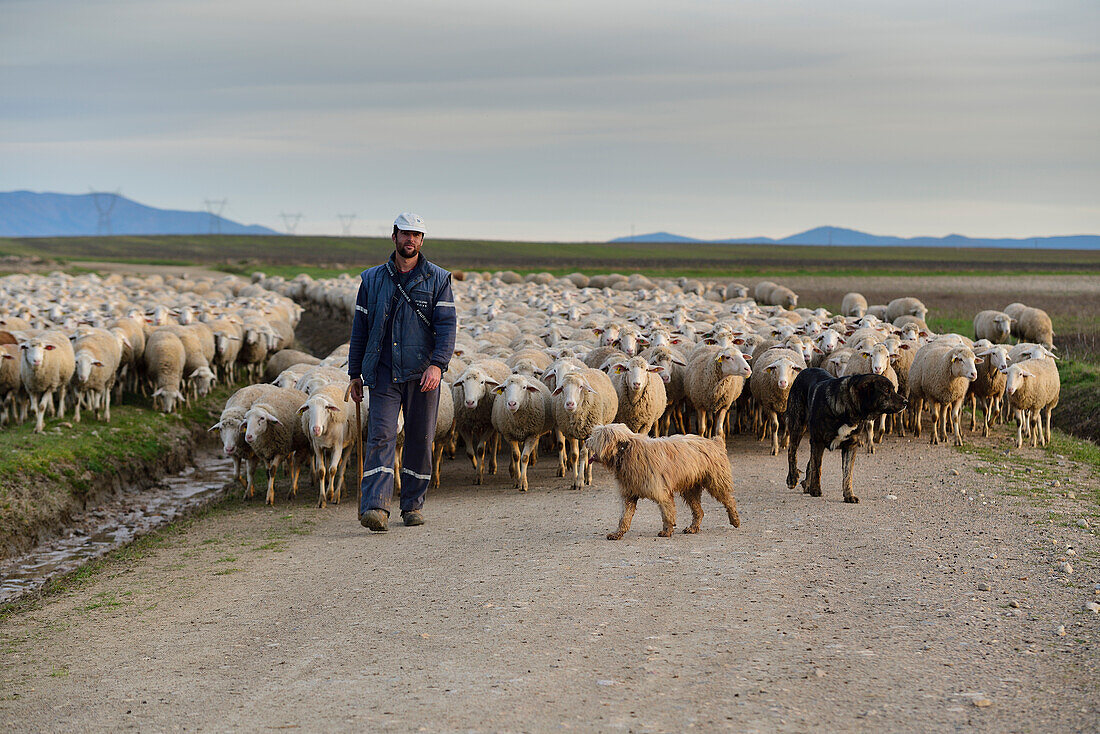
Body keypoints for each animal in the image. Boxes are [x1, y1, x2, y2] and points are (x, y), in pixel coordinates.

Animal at [585, 424, 739, 539]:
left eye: (595, 436)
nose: (586, 441)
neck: (626, 452)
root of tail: (714, 442)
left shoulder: (661, 491)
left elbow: (667, 512)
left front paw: (667, 530)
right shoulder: (629, 494)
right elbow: (624, 517)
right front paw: (618, 533)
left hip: (716, 481)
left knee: (729, 500)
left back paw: (735, 520)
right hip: (690, 488)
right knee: (699, 511)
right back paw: (693, 528)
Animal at [787, 369, 906, 501]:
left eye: (894, 389)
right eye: (886, 390)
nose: (906, 402)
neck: (850, 409)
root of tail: (805, 370)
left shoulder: (850, 445)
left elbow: (847, 473)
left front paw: (849, 495)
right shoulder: (818, 441)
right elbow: (817, 467)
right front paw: (816, 489)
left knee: (810, 461)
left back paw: (806, 484)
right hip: (798, 425)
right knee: (792, 451)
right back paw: (792, 479)